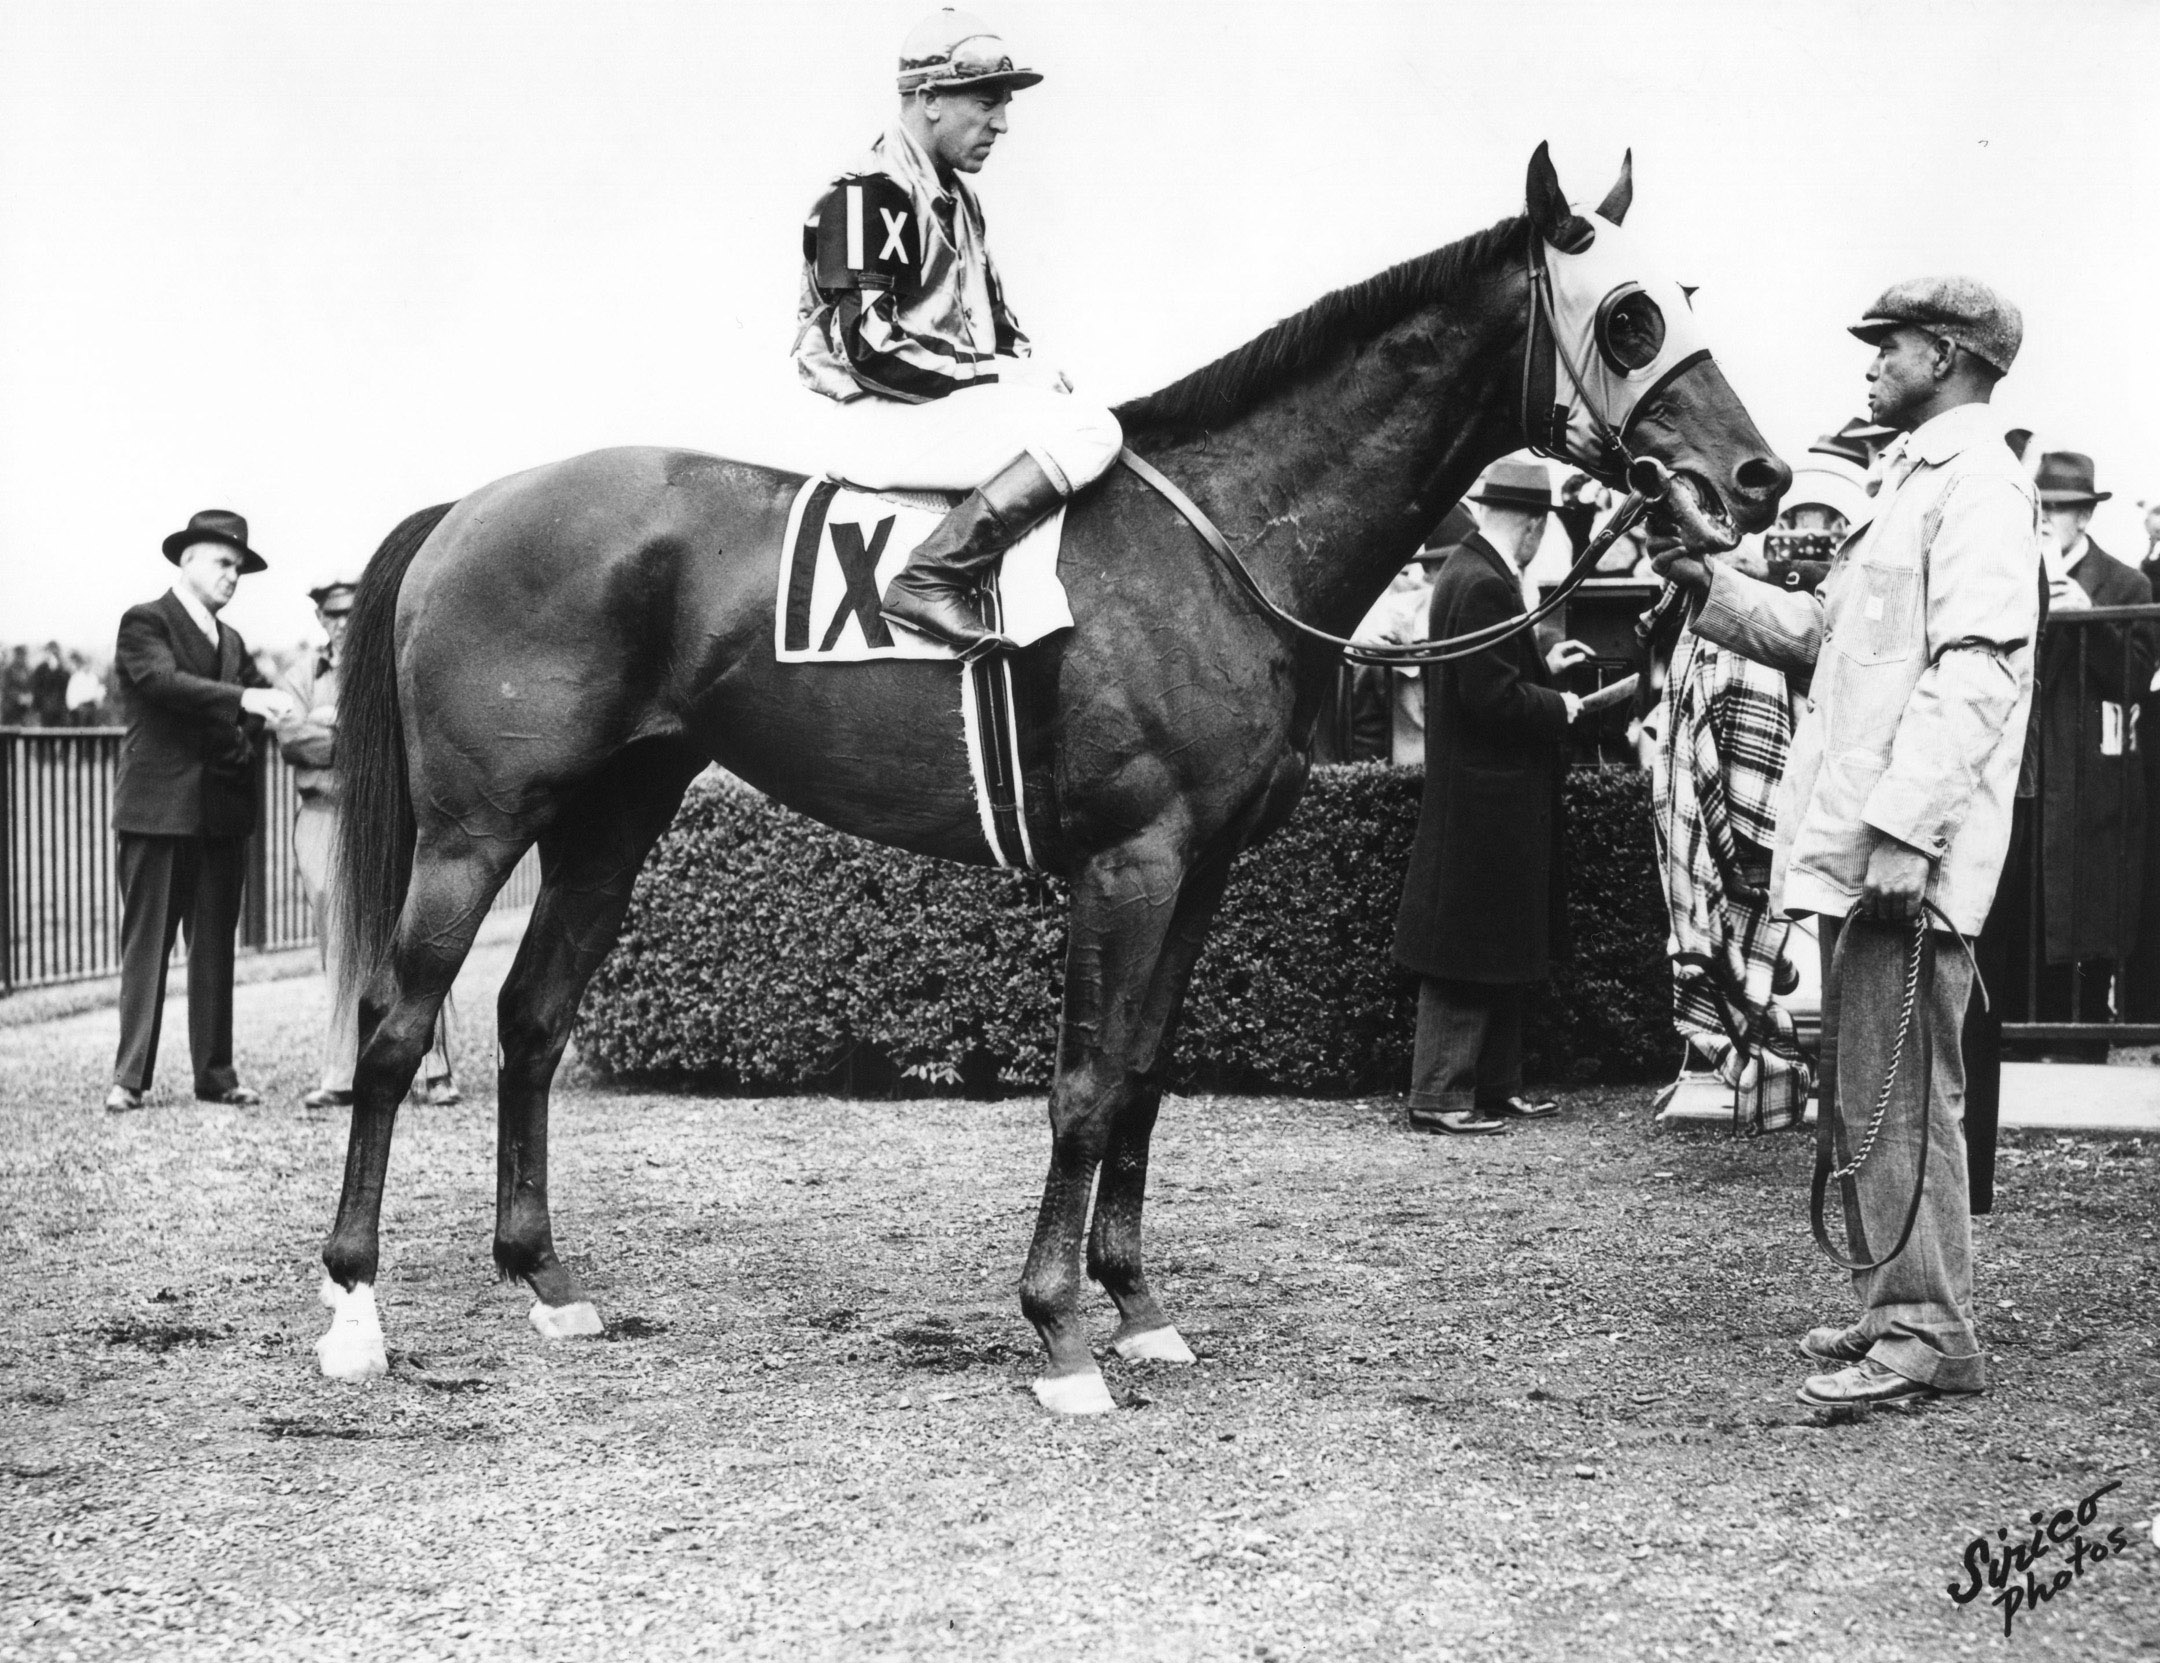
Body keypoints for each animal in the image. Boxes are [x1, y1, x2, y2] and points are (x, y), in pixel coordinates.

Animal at [308, 149, 1788, 1408]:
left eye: (1684, 297)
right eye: (1629, 317)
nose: (1757, 476)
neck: (1225, 541)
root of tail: (469, 506)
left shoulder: (1205, 866)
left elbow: (1142, 1075)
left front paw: (1140, 1308)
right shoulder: (1128, 859)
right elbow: (1082, 1082)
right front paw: (1061, 1329)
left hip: (613, 816)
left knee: (532, 1018)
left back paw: (546, 1280)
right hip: (474, 827)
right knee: (394, 1028)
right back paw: (356, 1311)